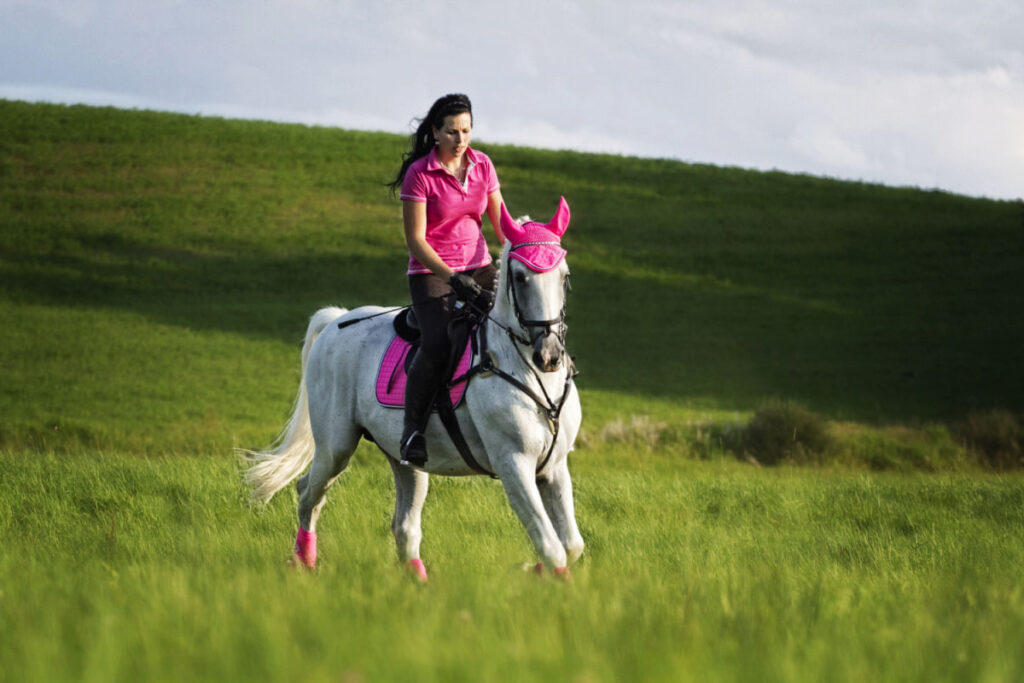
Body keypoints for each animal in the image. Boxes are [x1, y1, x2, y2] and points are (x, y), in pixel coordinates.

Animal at [241, 197, 585, 581]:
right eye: (522, 278)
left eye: (565, 277)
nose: (549, 355)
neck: (524, 369)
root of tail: (337, 319)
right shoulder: (513, 463)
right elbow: (553, 545)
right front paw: (538, 572)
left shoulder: (553, 467)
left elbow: (571, 544)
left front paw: (535, 570)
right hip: (336, 446)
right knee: (308, 493)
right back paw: (304, 562)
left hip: (406, 459)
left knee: (404, 524)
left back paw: (416, 579)